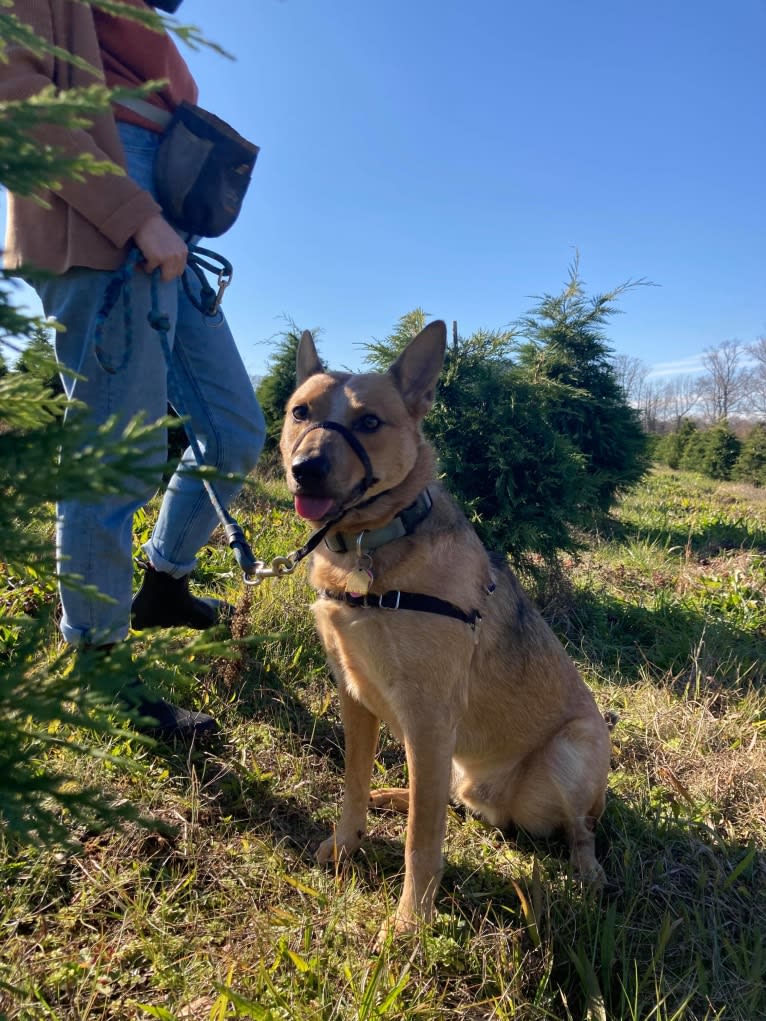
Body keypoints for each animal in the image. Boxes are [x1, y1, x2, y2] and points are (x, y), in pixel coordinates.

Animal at [281, 322, 612, 935]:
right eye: (300, 412)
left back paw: (588, 871)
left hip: (571, 750)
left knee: (580, 829)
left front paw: (411, 922)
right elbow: (353, 787)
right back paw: (395, 792)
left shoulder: (429, 716)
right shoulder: (354, 698)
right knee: (440, 797)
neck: (369, 548)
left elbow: (421, 839)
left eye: (369, 422)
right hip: (453, 765)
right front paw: (347, 845)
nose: (305, 469)